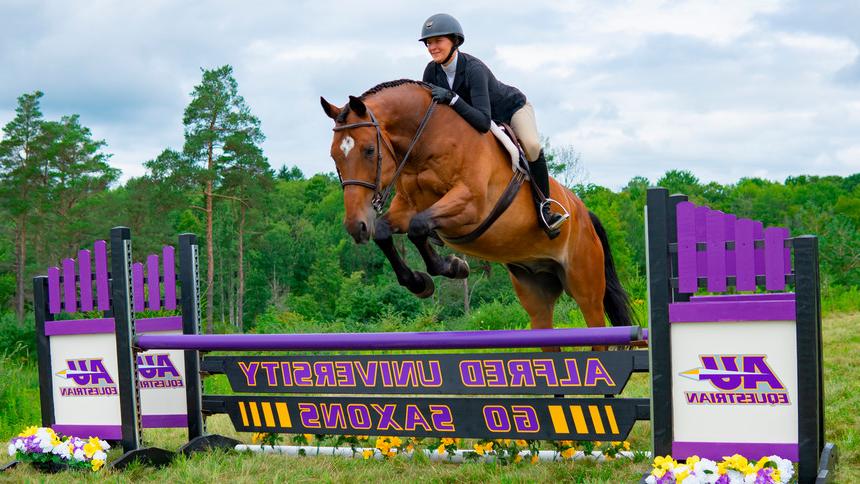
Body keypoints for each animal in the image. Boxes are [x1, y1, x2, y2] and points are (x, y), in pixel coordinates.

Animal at [320, 80, 632, 348]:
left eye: (369, 150)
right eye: (334, 155)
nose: (356, 226)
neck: (427, 141)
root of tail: (585, 214)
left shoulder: (470, 205)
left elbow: (419, 227)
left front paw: (453, 266)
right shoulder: (406, 206)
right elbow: (387, 232)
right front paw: (421, 283)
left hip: (586, 286)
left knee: (596, 326)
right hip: (536, 290)